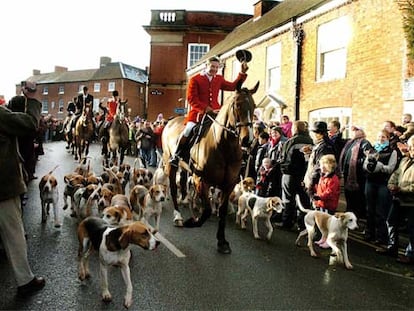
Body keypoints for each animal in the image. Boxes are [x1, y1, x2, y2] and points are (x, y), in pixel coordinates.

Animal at [162, 81, 258, 256]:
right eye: (237, 105)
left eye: (254, 106)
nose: (248, 140)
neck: (224, 147)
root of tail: (172, 120)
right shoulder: (201, 180)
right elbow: (206, 210)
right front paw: (192, 221)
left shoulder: (228, 185)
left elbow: (222, 211)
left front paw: (222, 241)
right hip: (170, 163)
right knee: (172, 188)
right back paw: (178, 216)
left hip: (184, 168)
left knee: (183, 183)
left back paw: (185, 200)